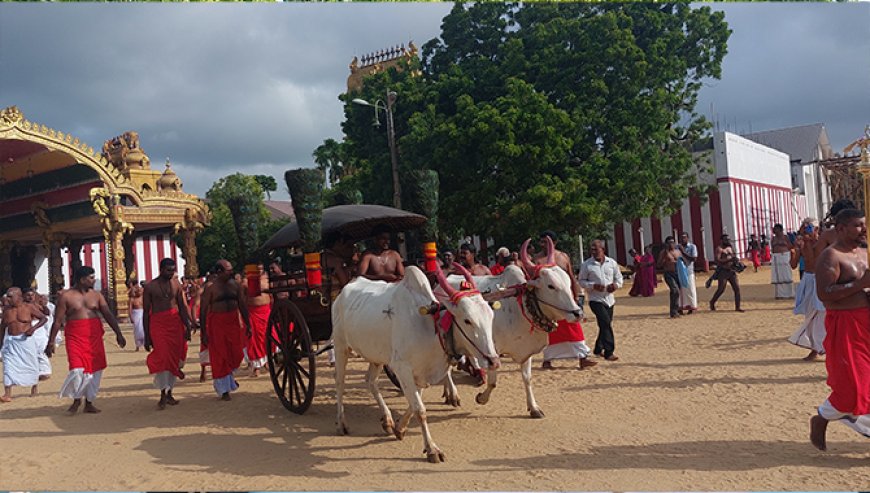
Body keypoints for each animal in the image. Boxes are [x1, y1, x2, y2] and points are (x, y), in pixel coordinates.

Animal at [332, 266, 500, 462]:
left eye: (491, 316)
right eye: (467, 320)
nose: (493, 361)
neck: (431, 327)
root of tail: (344, 289)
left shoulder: (421, 373)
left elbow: (414, 404)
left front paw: (399, 428)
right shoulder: (402, 368)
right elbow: (420, 409)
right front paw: (432, 449)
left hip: (376, 356)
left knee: (370, 381)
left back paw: (387, 420)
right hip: (340, 346)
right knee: (340, 383)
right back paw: (341, 423)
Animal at [442, 236, 584, 418]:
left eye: (568, 281)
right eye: (551, 286)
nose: (577, 312)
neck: (521, 306)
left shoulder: (525, 351)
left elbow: (527, 379)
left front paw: (534, 408)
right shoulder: (492, 349)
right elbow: (493, 382)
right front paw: (481, 398)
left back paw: (448, 393)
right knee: (447, 370)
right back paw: (452, 394)